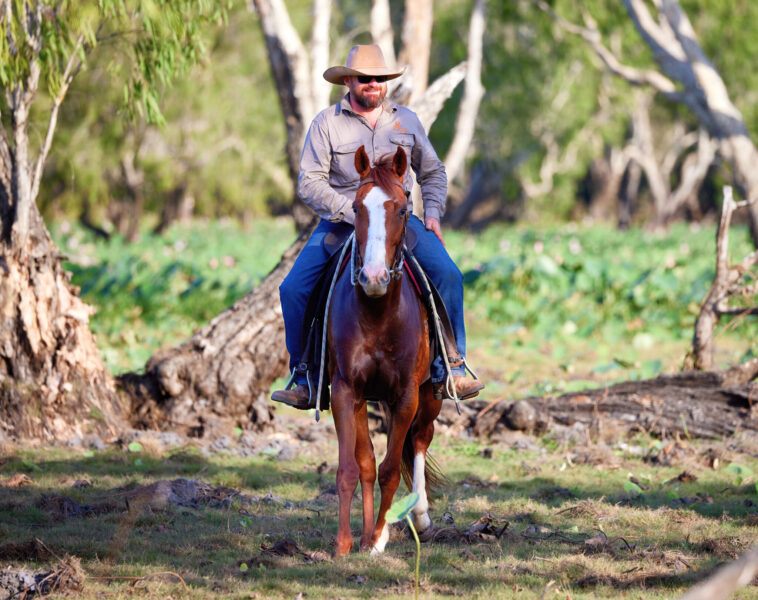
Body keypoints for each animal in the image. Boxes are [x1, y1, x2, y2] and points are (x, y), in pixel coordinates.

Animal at [327, 144, 444, 557]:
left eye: (404, 209)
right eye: (356, 207)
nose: (374, 278)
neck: (378, 313)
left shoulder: (407, 395)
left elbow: (391, 469)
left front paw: (378, 537)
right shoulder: (347, 391)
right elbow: (353, 467)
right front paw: (349, 541)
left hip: (429, 395)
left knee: (421, 440)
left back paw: (419, 515)